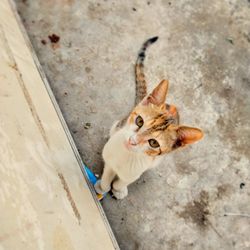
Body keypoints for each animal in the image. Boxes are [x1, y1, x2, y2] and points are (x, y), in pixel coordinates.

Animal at [94, 36, 203, 199]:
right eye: (139, 121)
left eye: (153, 143)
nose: (132, 141)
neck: (126, 156)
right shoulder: (109, 156)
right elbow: (108, 172)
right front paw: (103, 186)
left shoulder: (136, 171)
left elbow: (124, 180)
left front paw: (119, 189)